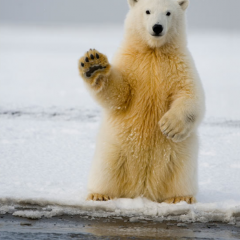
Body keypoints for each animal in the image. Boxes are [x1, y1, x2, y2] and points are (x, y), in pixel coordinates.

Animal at [78, 0, 204, 204]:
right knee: (106, 169)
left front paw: (169, 126)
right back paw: (99, 194)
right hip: (113, 148)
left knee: (181, 173)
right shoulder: (131, 62)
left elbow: (190, 95)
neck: (153, 51)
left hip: (181, 155)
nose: (157, 27)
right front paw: (93, 65)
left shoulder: (180, 65)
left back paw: (180, 198)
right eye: (147, 11)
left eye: (168, 13)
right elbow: (120, 94)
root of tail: (142, 190)